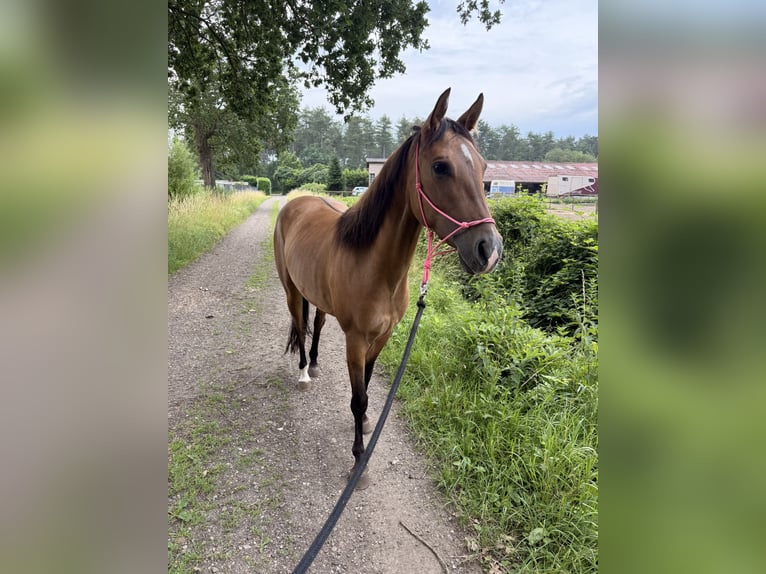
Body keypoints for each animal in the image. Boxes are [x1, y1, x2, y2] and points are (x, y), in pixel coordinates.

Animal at [273, 88, 503, 488]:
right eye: (440, 166)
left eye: (484, 167)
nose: (489, 250)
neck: (376, 268)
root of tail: (297, 202)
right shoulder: (355, 339)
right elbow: (358, 398)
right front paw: (358, 460)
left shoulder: (383, 336)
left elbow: (366, 386)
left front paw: (365, 427)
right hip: (291, 290)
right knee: (300, 328)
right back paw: (303, 372)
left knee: (316, 324)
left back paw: (314, 364)